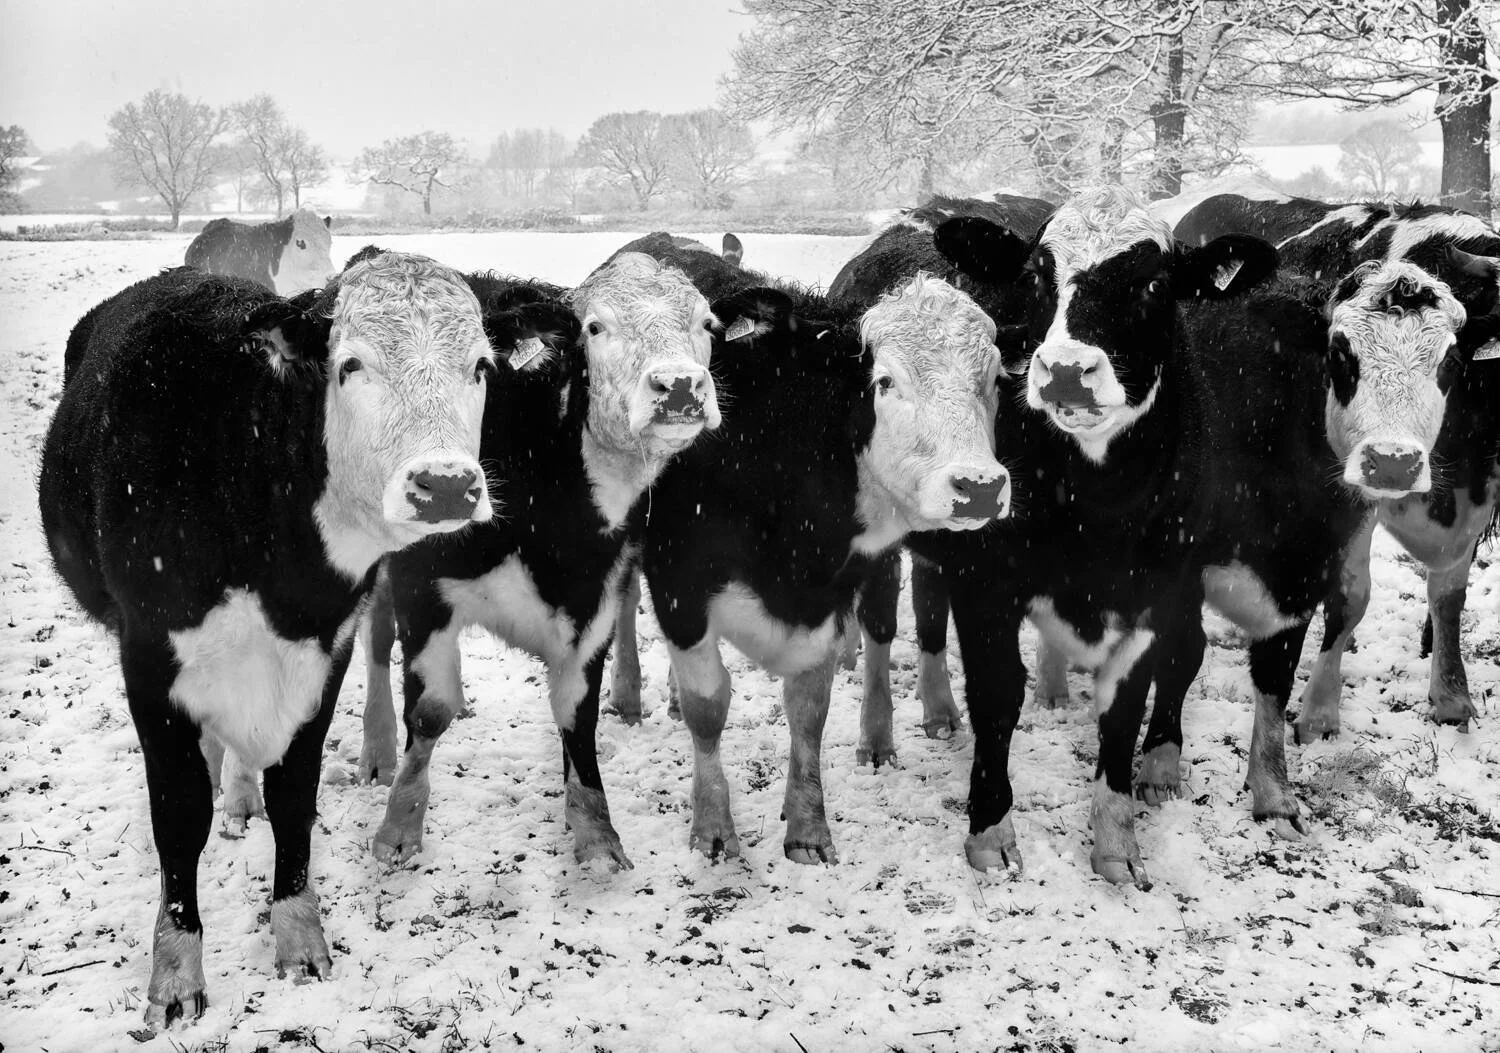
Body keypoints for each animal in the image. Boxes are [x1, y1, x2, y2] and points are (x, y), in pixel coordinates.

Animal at [37, 253, 496, 1027]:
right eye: (349, 365)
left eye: (481, 367)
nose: (444, 484)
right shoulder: (149, 657)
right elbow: (179, 812)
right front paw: (176, 971)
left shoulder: (324, 651)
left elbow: (294, 793)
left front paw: (299, 934)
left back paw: (241, 794)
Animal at [354, 252, 721, 869]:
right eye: (594, 327)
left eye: (706, 323)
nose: (679, 385)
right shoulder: (421, 584)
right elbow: (428, 711)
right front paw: (399, 826)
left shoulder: (595, 597)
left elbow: (576, 711)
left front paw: (595, 828)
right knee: (378, 641)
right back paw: (376, 751)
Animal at [606, 233, 1013, 863]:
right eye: (885, 382)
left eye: (993, 379)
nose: (981, 486)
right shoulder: (679, 579)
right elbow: (708, 706)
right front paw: (713, 826)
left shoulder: (830, 594)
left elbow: (808, 708)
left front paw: (807, 827)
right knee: (625, 600)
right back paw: (628, 696)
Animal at [1176, 194, 1500, 738]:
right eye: (1339, 354)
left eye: (1450, 362)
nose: (1394, 464)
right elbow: (1351, 598)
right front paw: (1320, 710)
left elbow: (1449, 593)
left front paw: (1452, 694)